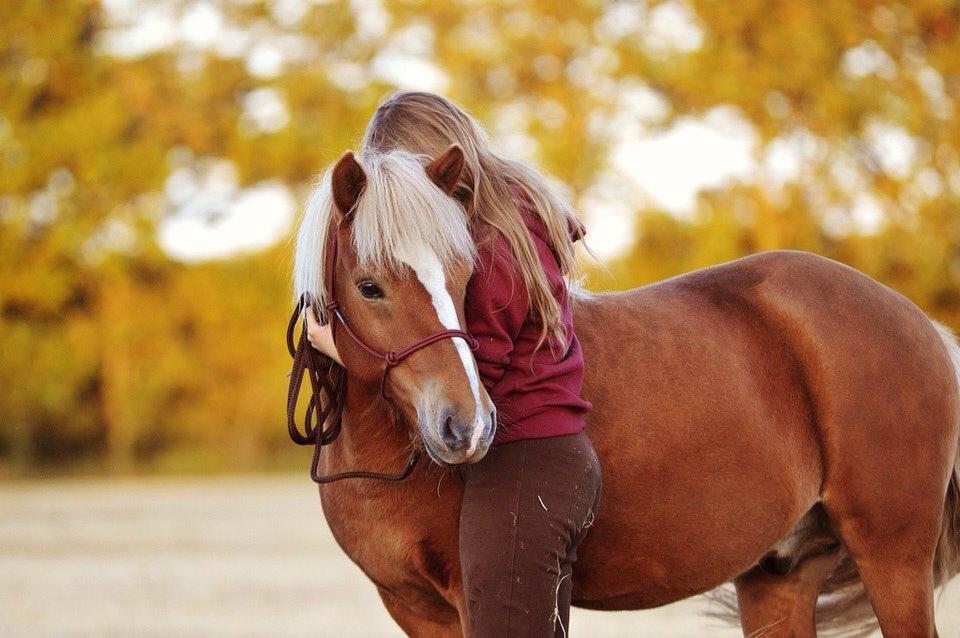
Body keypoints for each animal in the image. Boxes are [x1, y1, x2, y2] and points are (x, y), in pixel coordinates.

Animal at [292, 146, 960, 638]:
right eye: (370, 286)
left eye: (465, 276)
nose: (467, 426)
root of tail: (922, 324)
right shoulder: (416, 610)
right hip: (779, 576)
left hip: (892, 558)